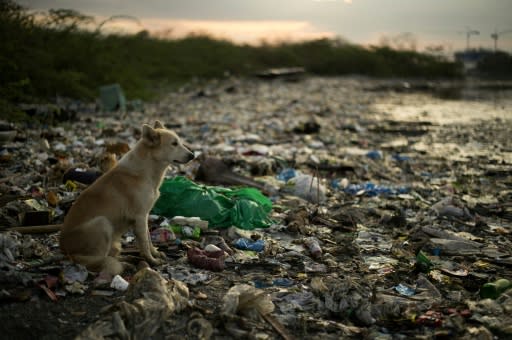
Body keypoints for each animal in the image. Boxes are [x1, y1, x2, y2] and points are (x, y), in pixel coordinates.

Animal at [59, 121, 194, 276]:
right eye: (174, 143)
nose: (192, 155)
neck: (146, 169)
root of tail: (63, 249)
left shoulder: (144, 216)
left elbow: (148, 239)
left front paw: (154, 253)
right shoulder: (140, 217)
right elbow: (144, 243)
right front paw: (152, 261)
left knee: (110, 256)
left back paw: (128, 260)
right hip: (102, 223)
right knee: (98, 261)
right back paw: (124, 264)